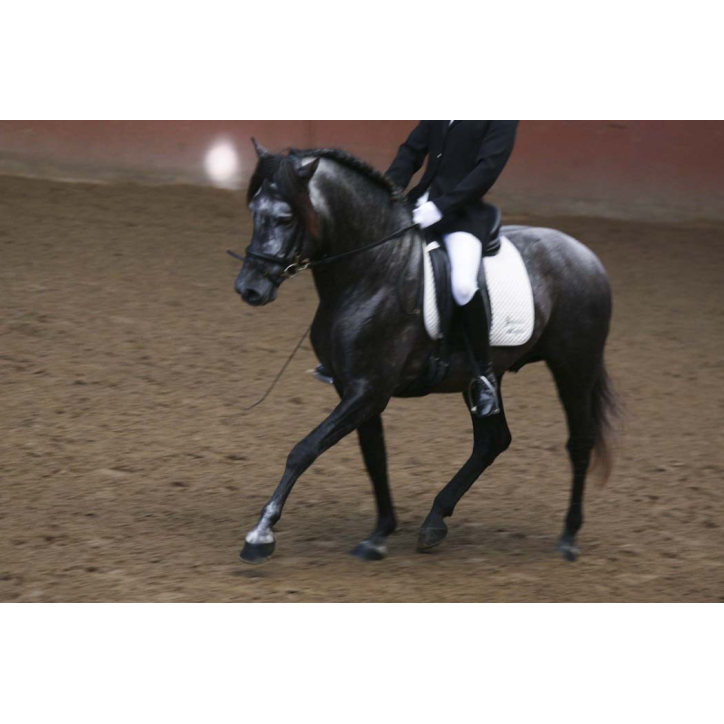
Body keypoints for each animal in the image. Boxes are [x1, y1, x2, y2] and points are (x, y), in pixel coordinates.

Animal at [232, 140, 618, 565]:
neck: (372, 271)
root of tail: (586, 256)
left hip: (574, 367)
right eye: (254, 211)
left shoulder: (368, 391)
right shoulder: (354, 389)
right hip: (485, 377)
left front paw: (260, 534)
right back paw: (435, 522)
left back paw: (568, 537)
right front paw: (380, 533)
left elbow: (304, 450)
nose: (249, 289)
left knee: (579, 441)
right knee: (493, 440)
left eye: (285, 218)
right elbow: (374, 457)